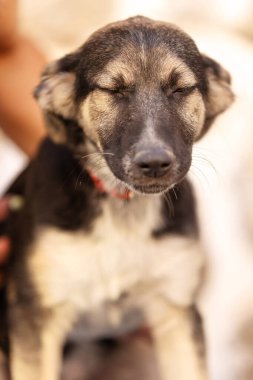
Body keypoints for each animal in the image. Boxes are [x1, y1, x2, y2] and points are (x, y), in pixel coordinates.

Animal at [0, 15, 233, 380]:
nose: (154, 163)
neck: (124, 206)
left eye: (180, 89)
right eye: (113, 90)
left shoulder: (176, 311)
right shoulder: (32, 314)